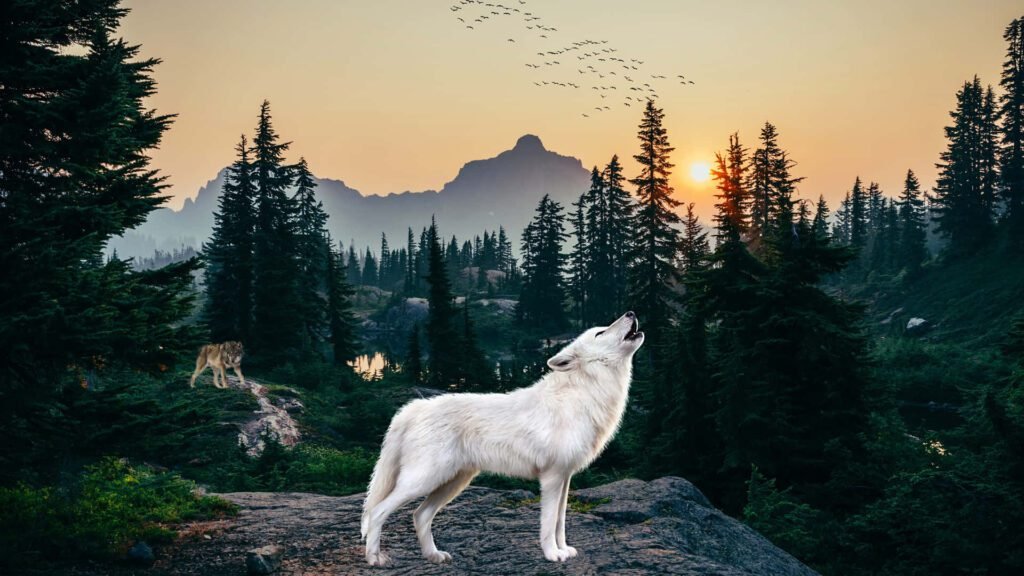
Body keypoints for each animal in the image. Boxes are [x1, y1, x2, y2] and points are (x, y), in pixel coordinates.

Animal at [360, 311, 644, 566]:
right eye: (601, 332)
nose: (631, 312)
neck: (583, 393)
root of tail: (413, 409)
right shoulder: (552, 478)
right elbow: (548, 524)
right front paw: (553, 555)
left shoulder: (566, 478)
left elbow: (560, 522)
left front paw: (564, 550)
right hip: (424, 481)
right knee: (377, 511)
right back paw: (375, 559)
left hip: (452, 482)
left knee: (419, 515)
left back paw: (434, 556)